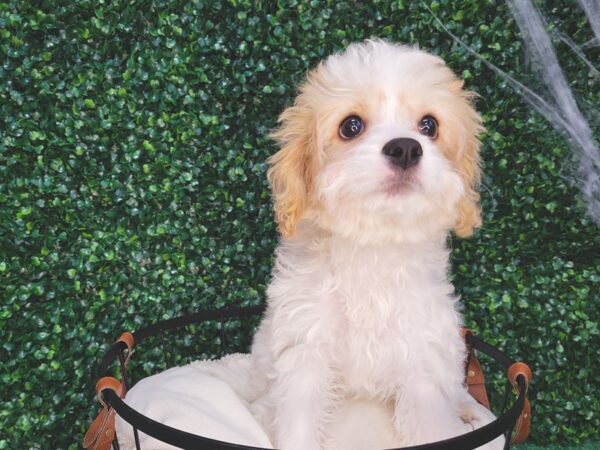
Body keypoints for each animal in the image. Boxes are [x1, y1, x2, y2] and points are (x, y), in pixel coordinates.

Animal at [248, 39, 502, 450]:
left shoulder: (424, 366)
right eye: (350, 126)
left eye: (429, 125)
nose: (405, 148)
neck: (375, 244)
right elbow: (299, 423)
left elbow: (431, 425)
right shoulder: (306, 356)